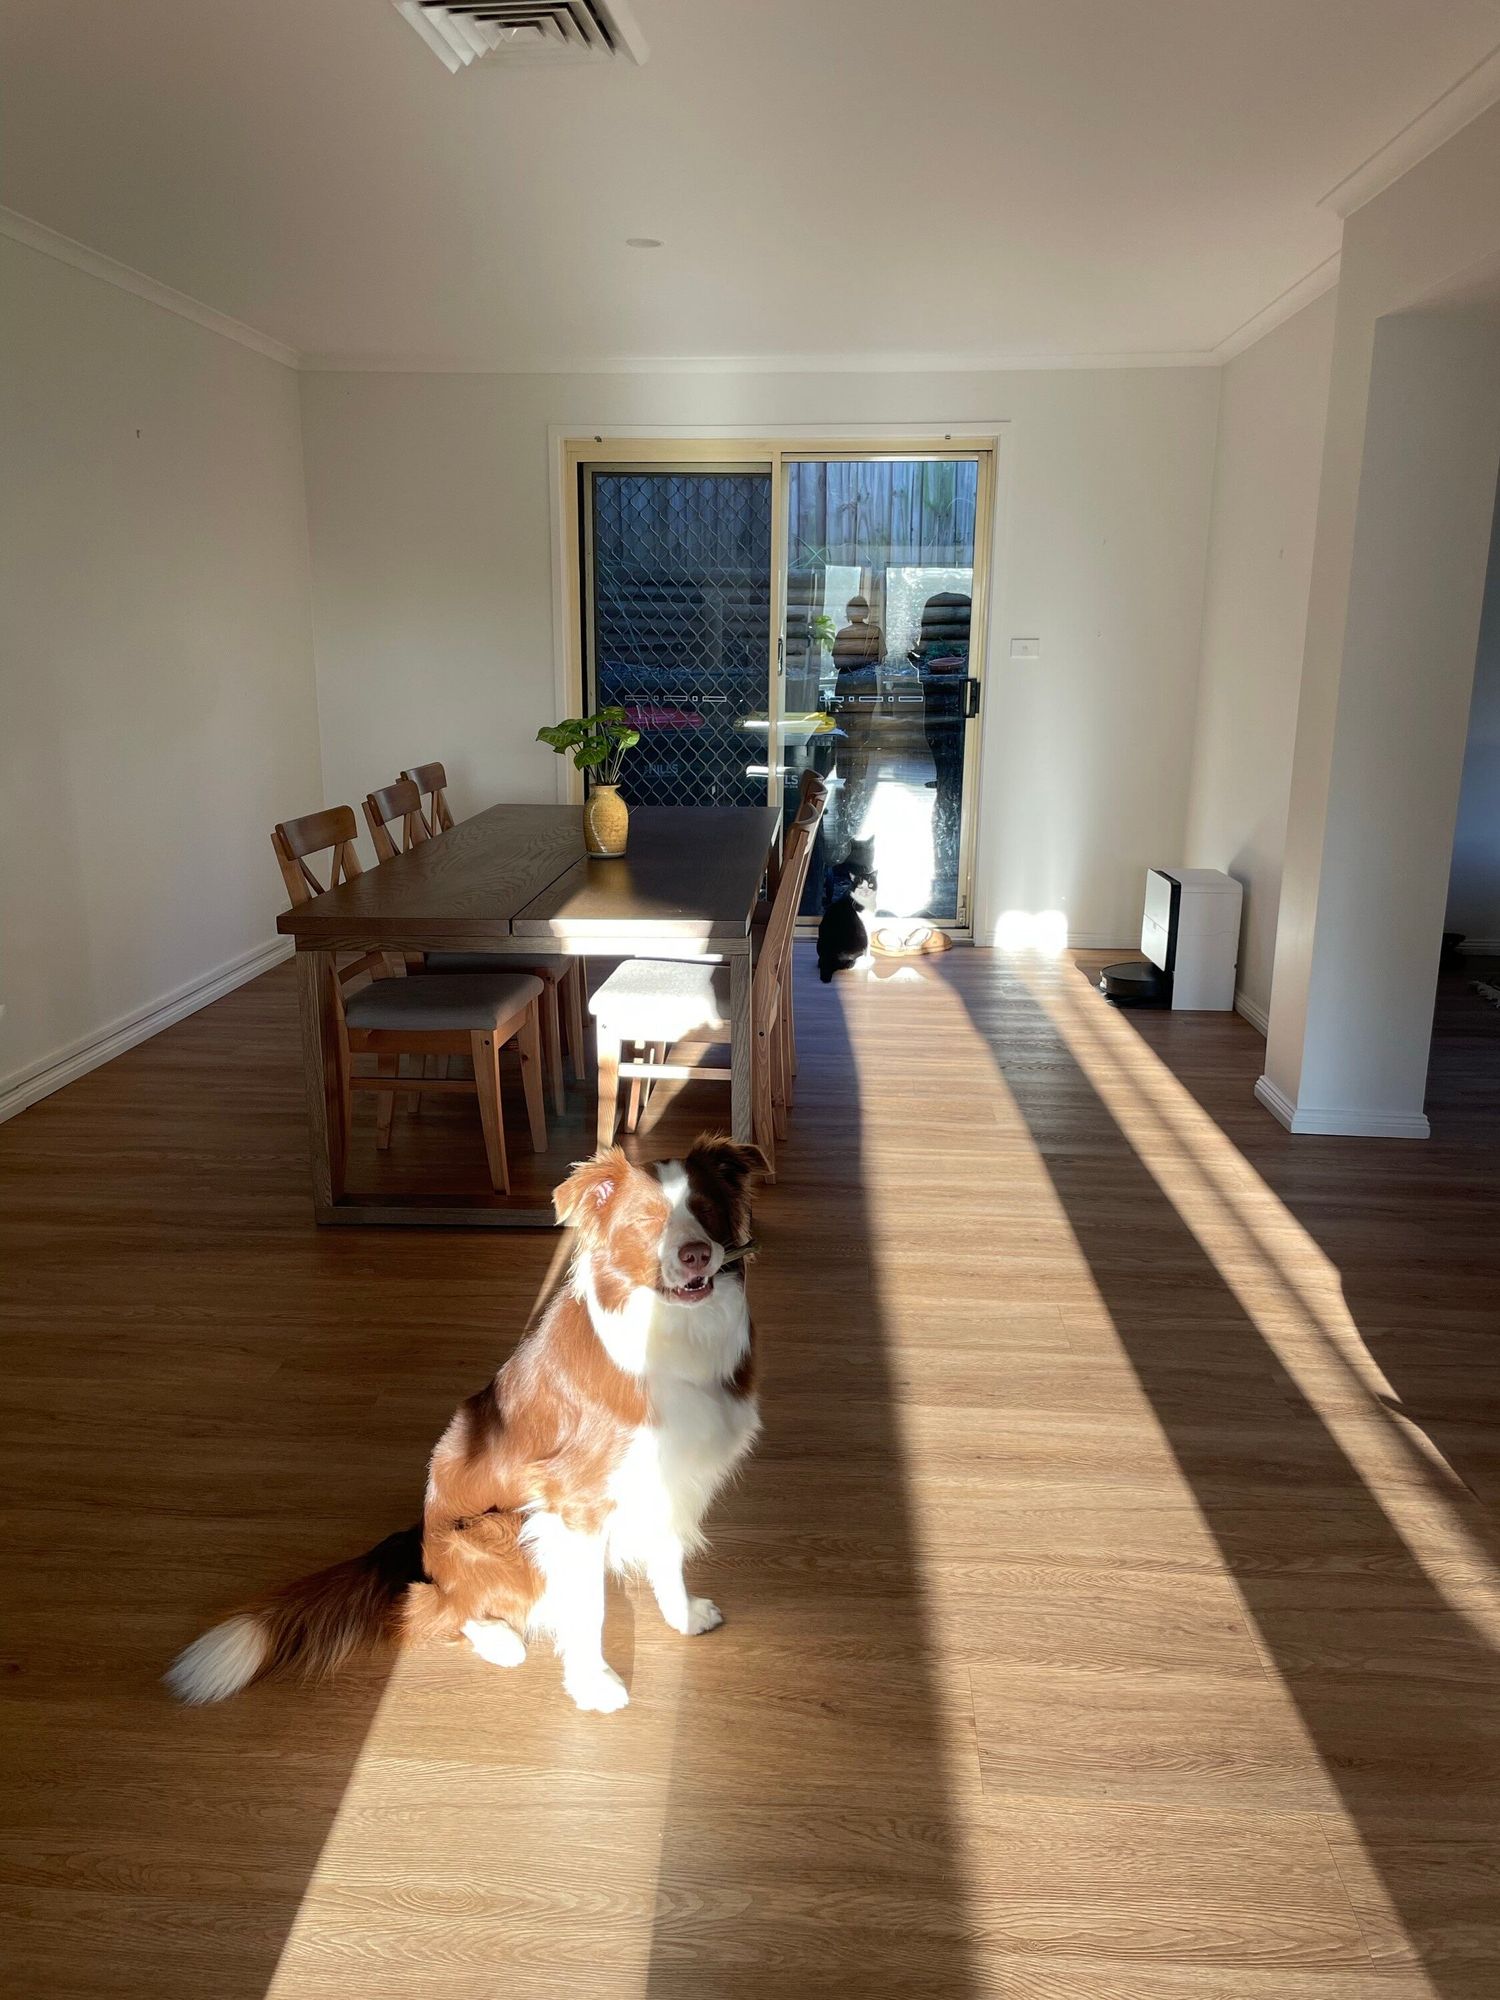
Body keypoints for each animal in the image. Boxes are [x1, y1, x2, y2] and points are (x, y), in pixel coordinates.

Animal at [166, 1136, 766, 1714]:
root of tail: (415, 1538)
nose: (696, 1255)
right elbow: (588, 1609)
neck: (675, 1331)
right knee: (431, 1608)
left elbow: (671, 1557)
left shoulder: (671, 1476)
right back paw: (501, 1640)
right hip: (498, 1529)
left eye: (706, 1209)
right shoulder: (575, 1502)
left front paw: (684, 1616)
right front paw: (594, 1686)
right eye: (647, 1221)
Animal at [817, 836, 878, 982]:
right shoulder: (867, 927)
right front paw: (869, 956)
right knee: (850, 965)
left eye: (870, 885)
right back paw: (868, 962)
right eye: (860, 886)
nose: (866, 891)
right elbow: (868, 947)